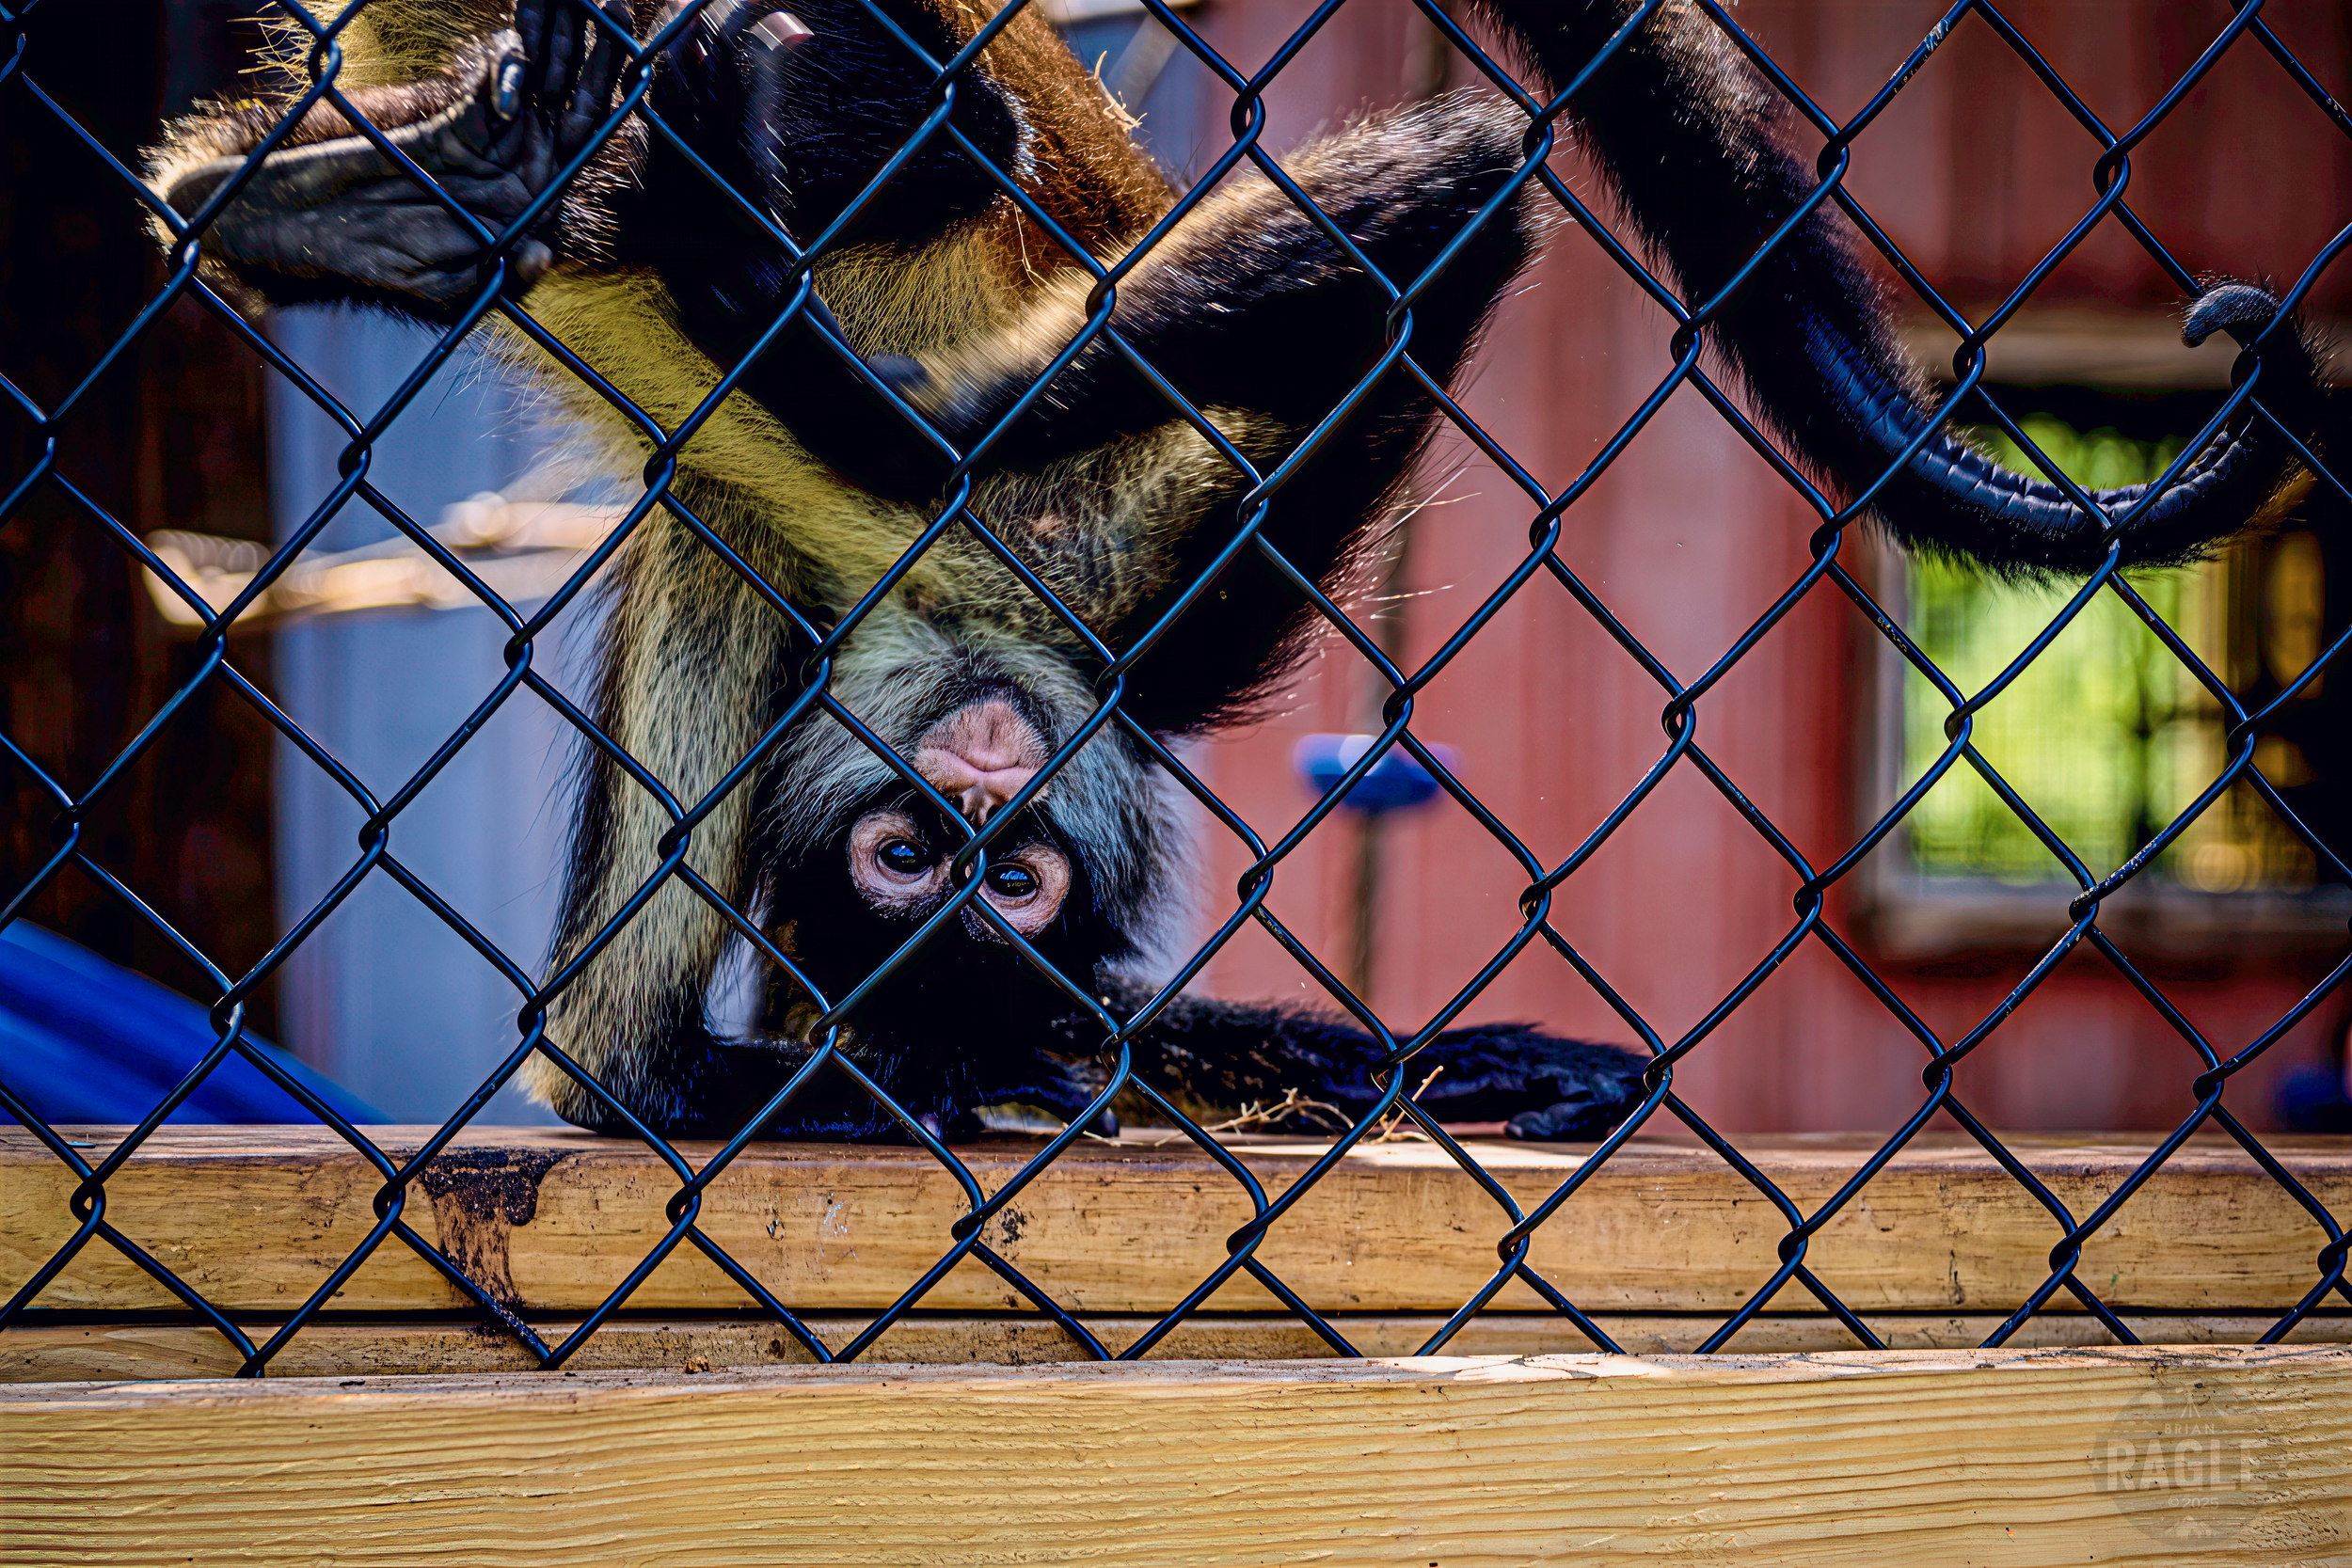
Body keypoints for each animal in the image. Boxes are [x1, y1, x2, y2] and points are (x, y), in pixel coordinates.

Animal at [147, 0, 2329, 1144]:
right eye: (911, 857)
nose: (978, 778)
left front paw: (1509, 1064)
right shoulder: (1104, 617)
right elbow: (1466, 175)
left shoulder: (1117, 633)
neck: (968, 616)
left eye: (1008, 879)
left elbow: (1466, 185)